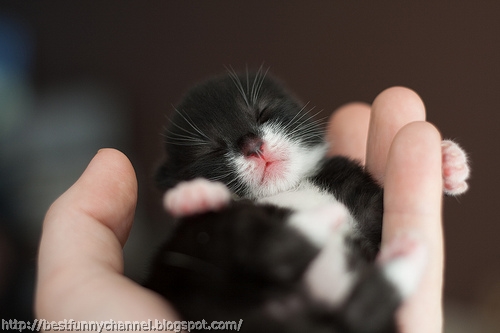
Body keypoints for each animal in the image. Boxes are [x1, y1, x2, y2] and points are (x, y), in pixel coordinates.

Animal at [146, 68, 470, 330]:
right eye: (210, 150)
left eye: (263, 112)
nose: (252, 145)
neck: (290, 188)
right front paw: (193, 194)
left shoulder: (359, 195)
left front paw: (447, 162)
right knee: (271, 249)